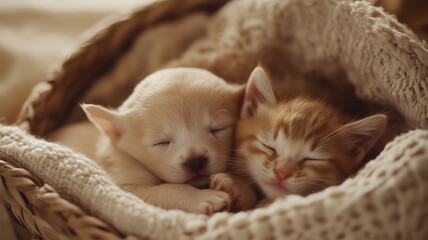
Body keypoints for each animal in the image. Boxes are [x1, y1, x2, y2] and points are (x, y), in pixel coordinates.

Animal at [49, 67, 244, 214]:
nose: (195, 161)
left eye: (218, 129)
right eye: (161, 142)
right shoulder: (124, 181)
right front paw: (204, 197)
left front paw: (230, 184)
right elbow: (164, 190)